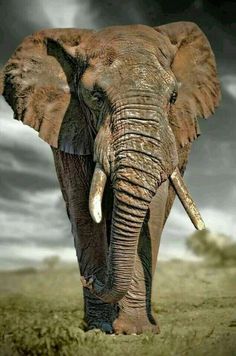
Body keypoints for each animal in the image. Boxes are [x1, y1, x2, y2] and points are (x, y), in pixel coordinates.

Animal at [0, 21, 221, 334]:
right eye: (96, 96)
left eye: (173, 98)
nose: (90, 280)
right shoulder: (70, 123)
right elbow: (82, 208)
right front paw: (100, 328)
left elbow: (151, 211)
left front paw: (135, 331)